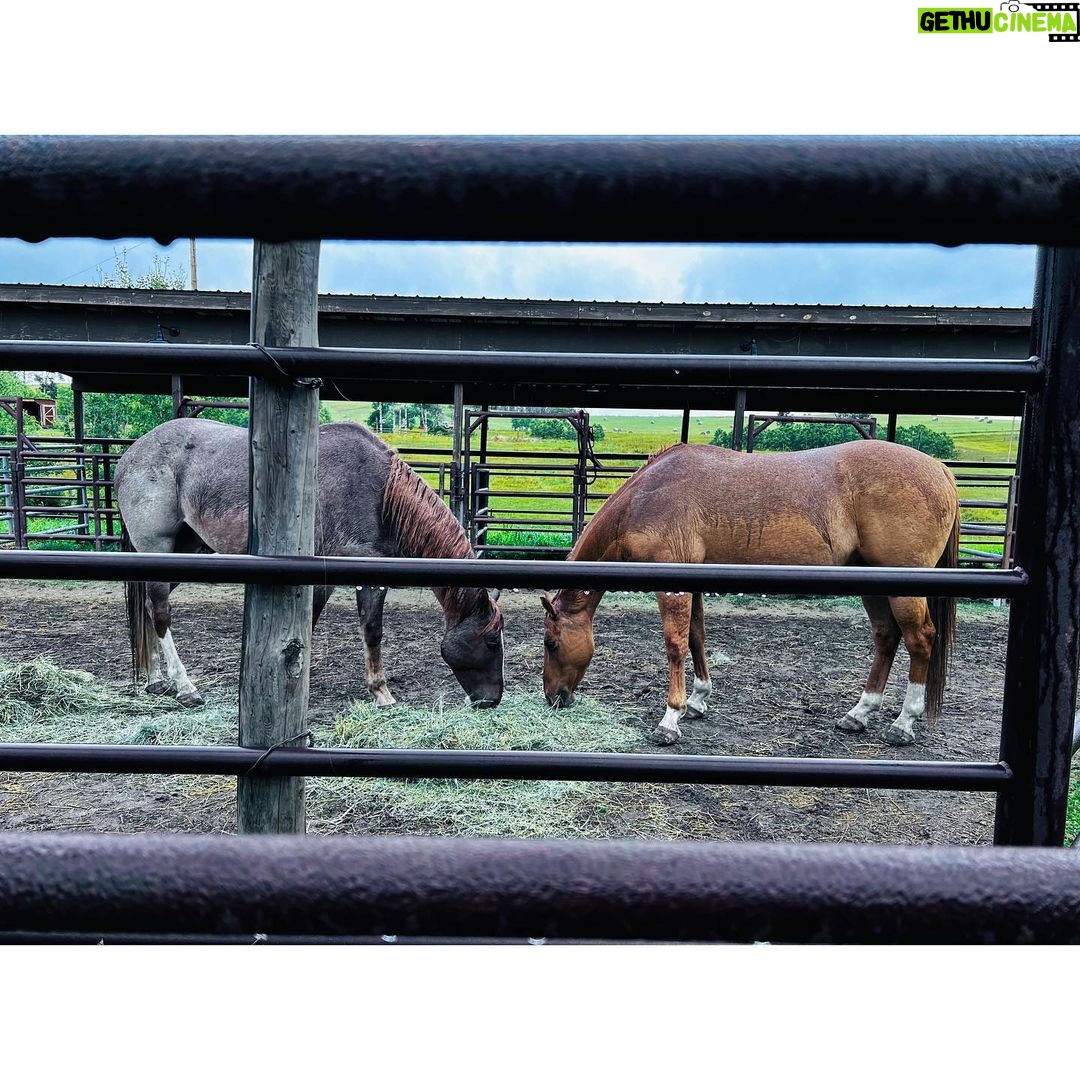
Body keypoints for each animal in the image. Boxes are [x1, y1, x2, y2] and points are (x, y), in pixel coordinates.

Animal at [115, 418, 504, 709]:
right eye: (491, 642)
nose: (491, 700)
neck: (378, 495)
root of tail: (129, 456)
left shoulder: (369, 577)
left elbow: (372, 631)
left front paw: (381, 693)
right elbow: (310, 630)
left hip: (187, 551)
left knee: (148, 606)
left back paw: (156, 681)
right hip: (158, 549)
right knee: (160, 611)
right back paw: (185, 687)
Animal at [540, 440, 959, 747]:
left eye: (551, 643)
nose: (553, 698)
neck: (646, 497)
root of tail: (939, 469)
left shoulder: (672, 586)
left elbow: (675, 645)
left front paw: (671, 718)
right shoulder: (694, 581)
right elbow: (697, 637)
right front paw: (698, 701)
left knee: (920, 639)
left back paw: (903, 724)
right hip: (870, 580)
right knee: (886, 637)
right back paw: (859, 714)